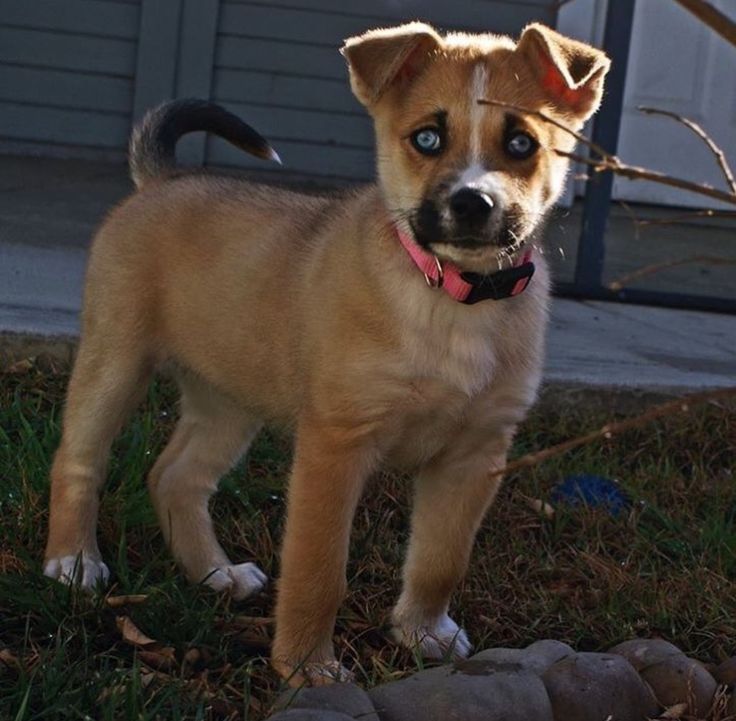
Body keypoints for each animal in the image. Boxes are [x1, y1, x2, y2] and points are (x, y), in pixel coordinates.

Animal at [44, 21, 608, 688]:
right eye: (426, 137)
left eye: (522, 143)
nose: (473, 204)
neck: (450, 300)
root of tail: (164, 181)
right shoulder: (336, 445)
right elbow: (319, 573)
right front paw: (307, 669)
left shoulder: (475, 456)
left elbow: (440, 561)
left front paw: (423, 632)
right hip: (115, 359)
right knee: (79, 460)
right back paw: (74, 562)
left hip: (228, 398)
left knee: (175, 476)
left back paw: (216, 573)